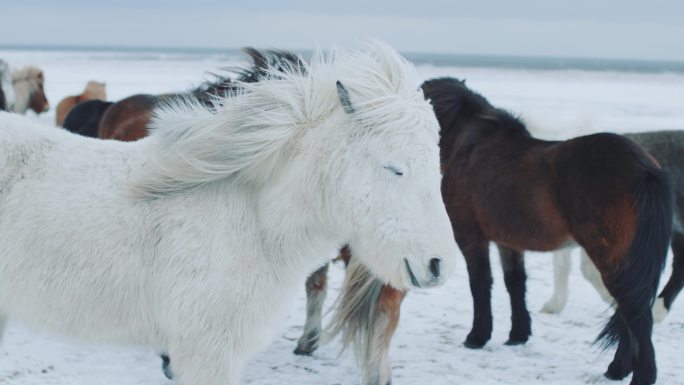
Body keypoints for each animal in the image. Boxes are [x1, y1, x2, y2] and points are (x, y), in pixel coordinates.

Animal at [300, 76, 672, 384]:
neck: (471, 146)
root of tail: (644, 168)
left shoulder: (472, 237)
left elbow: (481, 283)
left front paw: (477, 337)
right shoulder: (508, 242)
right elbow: (514, 283)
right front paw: (518, 334)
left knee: (634, 312)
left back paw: (634, 373)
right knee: (630, 310)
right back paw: (618, 369)